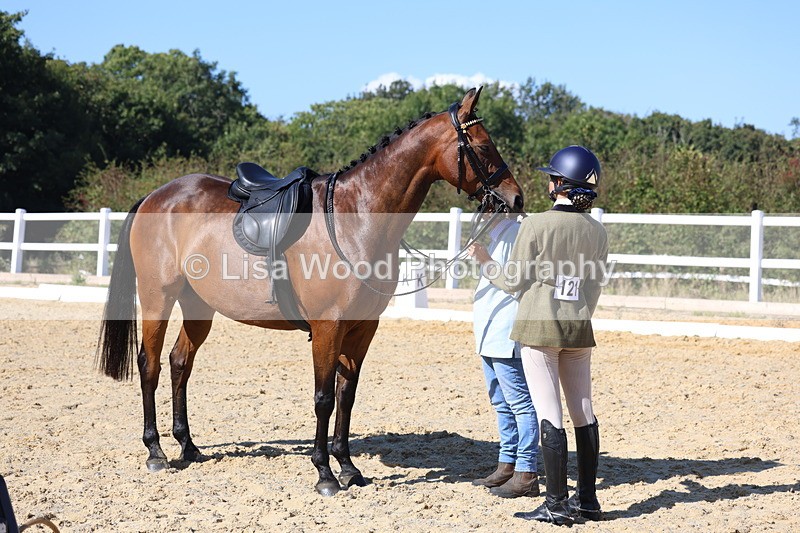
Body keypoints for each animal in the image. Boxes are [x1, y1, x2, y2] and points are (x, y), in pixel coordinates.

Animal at [97, 87, 524, 496]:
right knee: (149, 364)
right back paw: (155, 451)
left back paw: (188, 446)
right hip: (158, 297)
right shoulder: (327, 327)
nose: (516, 197)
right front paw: (325, 474)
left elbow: (345, 396)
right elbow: (323, 398)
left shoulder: (362, 328)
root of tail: (156, 196)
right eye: (483, 147)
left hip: (198, 305)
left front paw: (349, 468)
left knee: (179, 362)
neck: (356, 216)